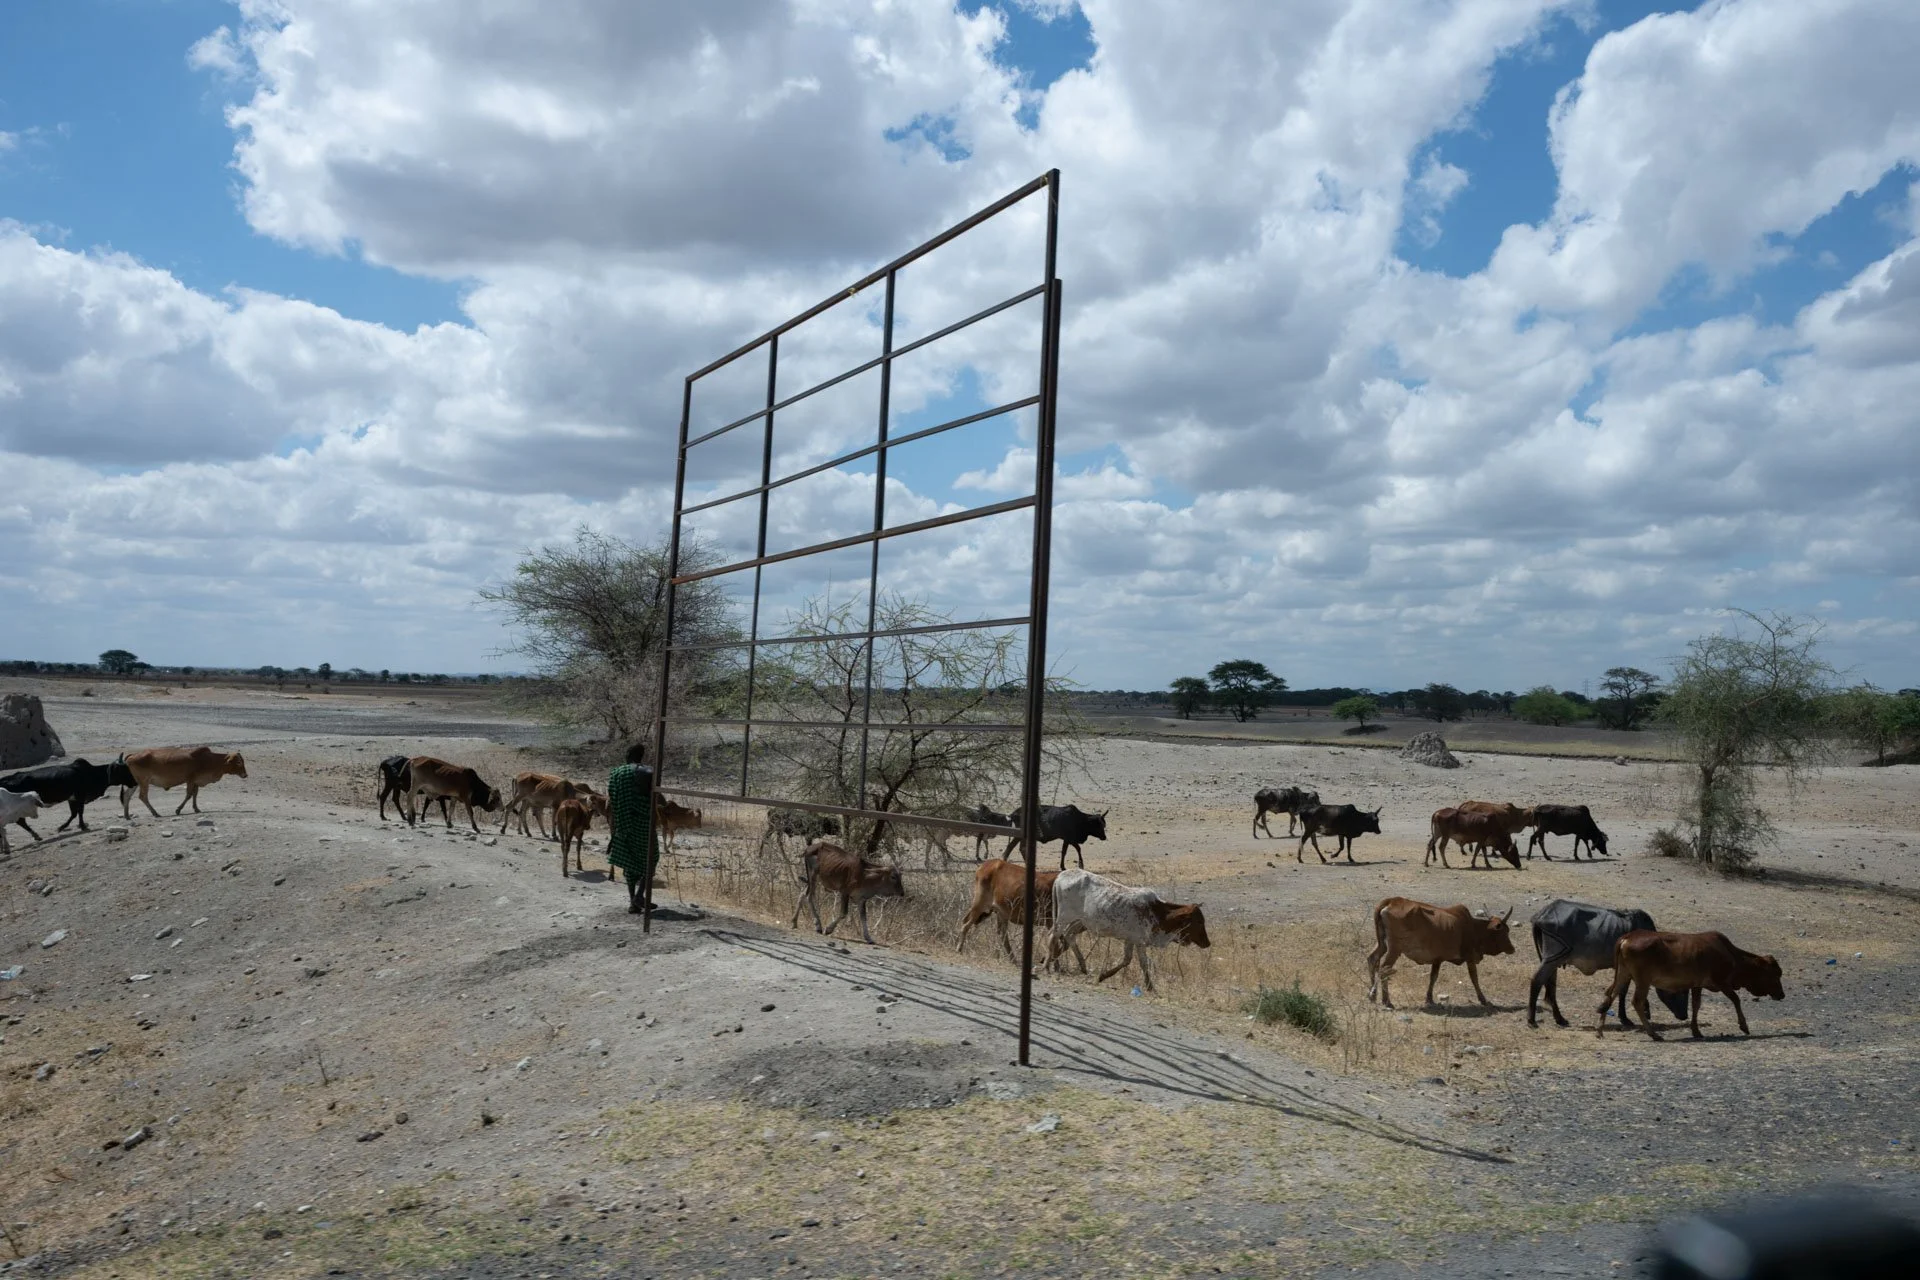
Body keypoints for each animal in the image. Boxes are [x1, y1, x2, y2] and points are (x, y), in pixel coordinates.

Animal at [1, 757, 136, 833]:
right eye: (124, 770)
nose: (135, 781)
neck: (92, 773)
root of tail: (4, 780)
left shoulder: (72, 799)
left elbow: (74, 814)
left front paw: (63, 827)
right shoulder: (80, 797)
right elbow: (79, 812)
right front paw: (82, 826)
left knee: (20, 822)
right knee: (21, 821)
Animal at [1045, 867, 1210, 993]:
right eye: (1199, 921)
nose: (1207, 943)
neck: (1157, 912)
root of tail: (1061, 875)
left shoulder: (1130, 940)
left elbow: (1126, 960)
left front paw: (1103, 976)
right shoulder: (1140, 942)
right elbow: (1143, 964)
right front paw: (1150, 987)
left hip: (1079, 921)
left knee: (1068, 935)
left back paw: (1081, 965)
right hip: (1064, 916)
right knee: (1054, 935)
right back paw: (1047, 964)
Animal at [1365, 897, 1516, 1009]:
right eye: (1505, 931)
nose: (1512, 949)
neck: (1473, 928)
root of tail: (1390, 901)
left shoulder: (1438, 959)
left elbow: (1433, 977)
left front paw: (1429, 999)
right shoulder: (1470, 957)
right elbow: (1474, 978)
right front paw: (1483, 999)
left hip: (1382, 944)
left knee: (1372, 959)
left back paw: (1374, 995)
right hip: (1395, 949)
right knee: (1384, 969)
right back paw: (1384, 999)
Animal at [1528, 899, 1690, 1028]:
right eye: (1680, 991)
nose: (1684, 1016)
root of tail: (1542, 914)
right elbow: (1622, 991)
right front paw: (1625, 1018)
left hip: (1553, 962)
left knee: (1550, 986)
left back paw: (1559, 1019)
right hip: (1552, 959)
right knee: (1537, 981)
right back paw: (1531, 1020)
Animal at [1598, 930, 1785, 1041]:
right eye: (1775, 974)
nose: (1782, 994)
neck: (1732, 956)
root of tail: (1627, 937)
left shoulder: (1697, 985)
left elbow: (1696, 1005)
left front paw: (1696, 1031)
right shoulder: (1722, 982)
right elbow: (1736, 999)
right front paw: (1744, 1026)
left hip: (1623, 974)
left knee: (1610, 995)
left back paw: (1600, 1030)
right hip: (1642, 980)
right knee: (1636, 1001)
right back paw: (1654, 1034)